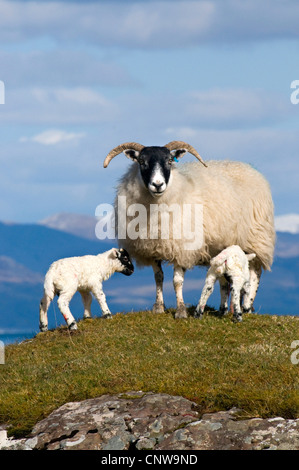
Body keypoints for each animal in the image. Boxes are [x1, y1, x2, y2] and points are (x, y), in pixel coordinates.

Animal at [103, 140, 276, 320]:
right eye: (142, 162)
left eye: (169, 161)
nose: (157, 185)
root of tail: (248, 167)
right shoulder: (154, 246)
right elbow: (158, 277)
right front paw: (159, 307)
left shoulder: (182, 248)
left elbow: (177, 281)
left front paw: (180, 310)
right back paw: (227, 308)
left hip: (256, 238)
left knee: (255, 272)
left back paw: (247, 306)